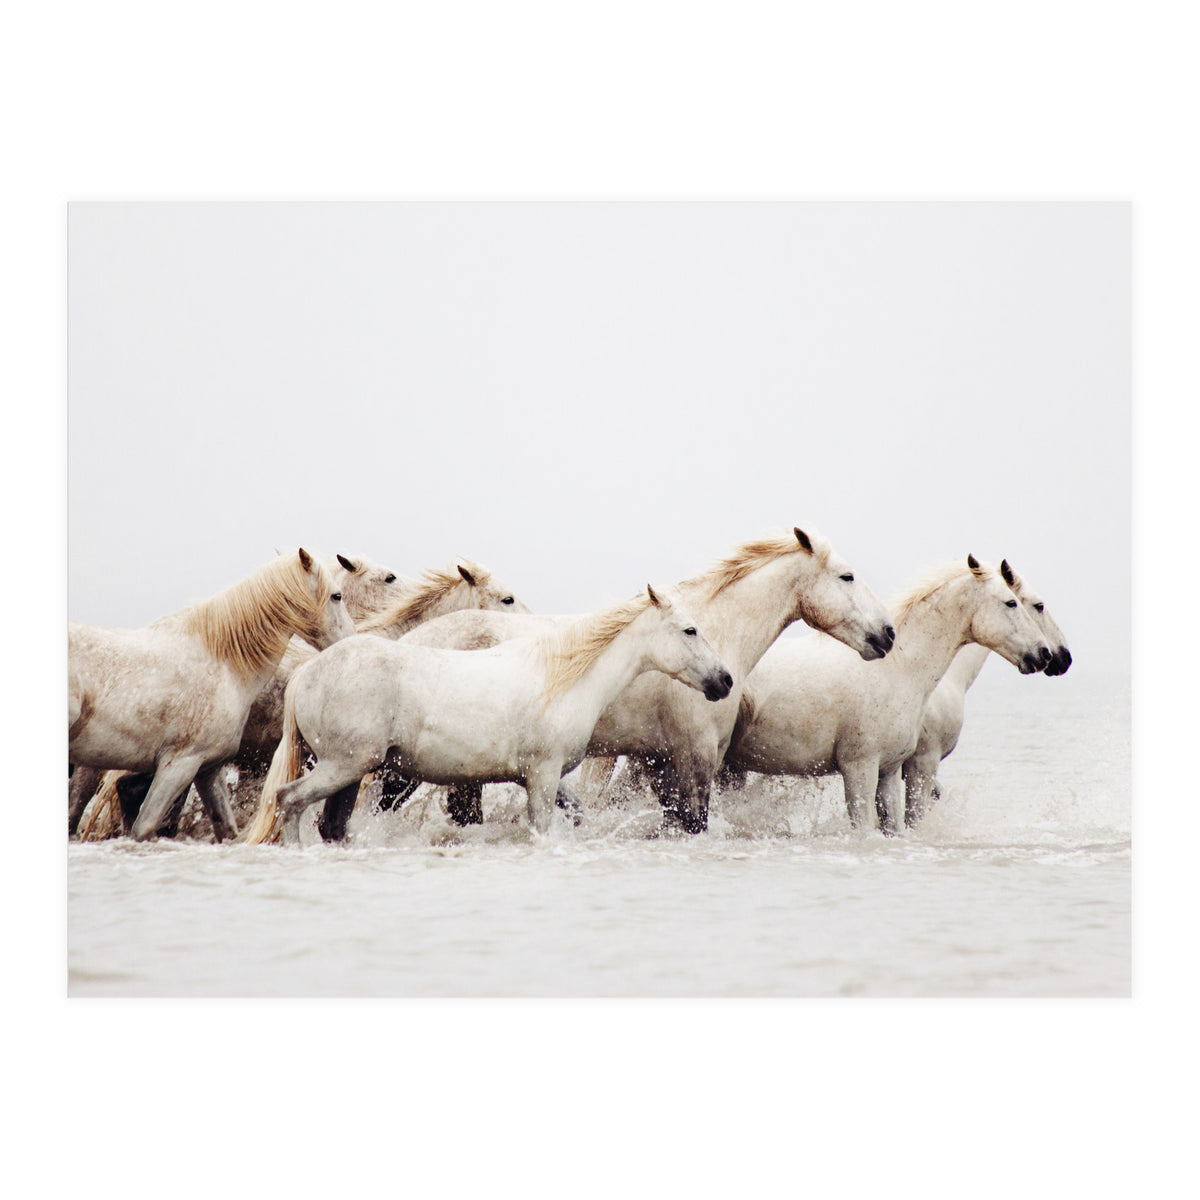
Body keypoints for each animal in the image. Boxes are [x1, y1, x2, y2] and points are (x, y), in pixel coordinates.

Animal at [68, 549, 354, 841]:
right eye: (337, 595)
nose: (351, 639)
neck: (222, 662)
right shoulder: (179, 765)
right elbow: (144, 827)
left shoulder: (207, 768)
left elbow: (226, 828)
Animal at [241, 585, 735, 843]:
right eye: (690, 630)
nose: (725, 681)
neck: (562, 677)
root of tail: (307, 673)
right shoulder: (542, 775)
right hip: (344, 765)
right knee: (290, 801)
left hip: (351, 771)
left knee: (331, 824)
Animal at [356, 527, 896, 835]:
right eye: (847, 577)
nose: (887, 635)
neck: (713, 631)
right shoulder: (695, 758)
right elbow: (694, 823)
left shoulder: (660, 762)